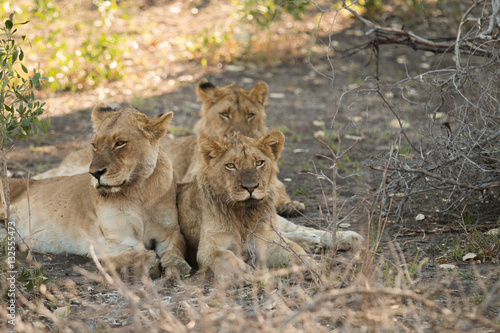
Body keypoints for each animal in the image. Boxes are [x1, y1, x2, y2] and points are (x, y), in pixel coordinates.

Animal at [0, 105, 191, 276]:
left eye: (119, 143)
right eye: (94, 145)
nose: (95, 173)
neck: (138, 191)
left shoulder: (169, 232)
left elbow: (175, 249)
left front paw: (178, 266)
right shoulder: (117, 242)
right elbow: (135, 254)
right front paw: (149, 263)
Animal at [177, 129, 364, 282]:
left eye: (259, 163)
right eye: (230, 165)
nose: (251, 187)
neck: (243, 213)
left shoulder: (265, 242)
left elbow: (292, 251)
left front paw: (311, 265)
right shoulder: (208, 248)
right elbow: (223, 255)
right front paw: (242, 273)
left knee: (300, 230)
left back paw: (349, 237)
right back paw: (312, 242)